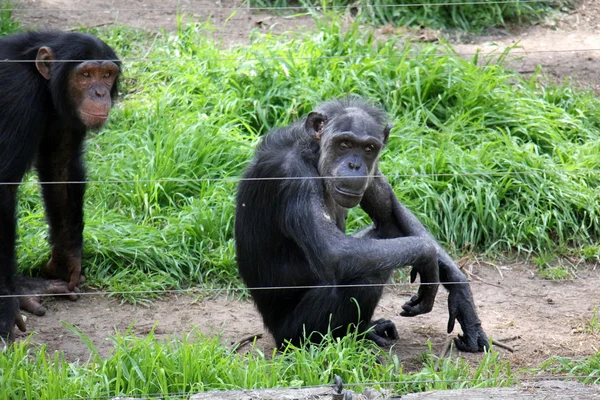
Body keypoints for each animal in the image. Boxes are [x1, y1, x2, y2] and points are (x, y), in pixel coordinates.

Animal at [0, 30, 120, 340]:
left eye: (106, 75)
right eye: (86, 75)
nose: (100, 93)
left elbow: (60, 164)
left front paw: (66, 264)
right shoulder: (17, 97)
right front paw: (4, 306)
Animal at [234, 98, 488, 352]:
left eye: (368, 149)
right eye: (344, 144)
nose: (355, 165)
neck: (313, 155)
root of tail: (273, 332)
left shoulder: (373, 171)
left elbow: (390, 216)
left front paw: (462, 296)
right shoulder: (293, 177)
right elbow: (334, 252)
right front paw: (427, 257)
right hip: (296, 332)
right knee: (367, 273)